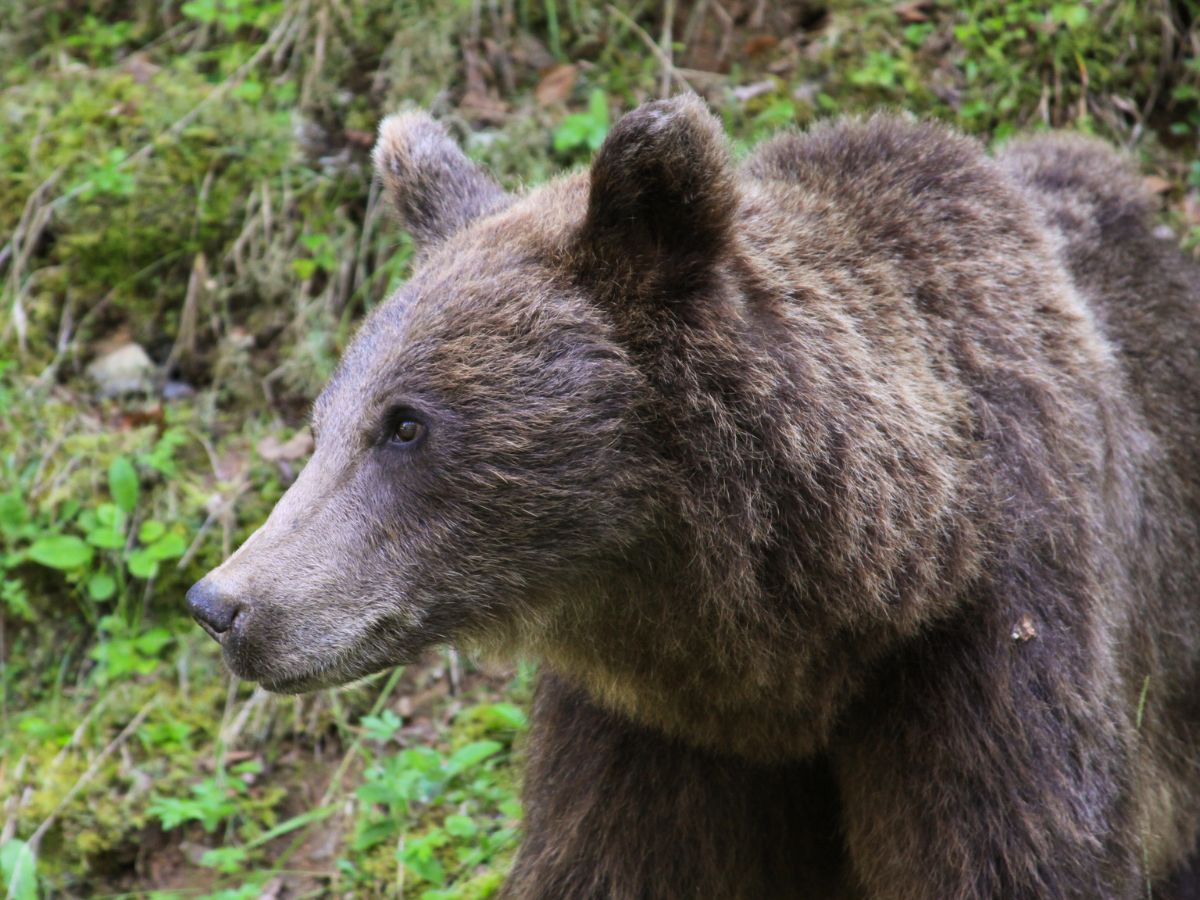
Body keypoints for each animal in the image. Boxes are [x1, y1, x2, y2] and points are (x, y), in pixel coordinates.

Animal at [187, 95, 1200, 897]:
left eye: (404, 424)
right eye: (323, 421)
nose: (222, 603)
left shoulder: (990, 650)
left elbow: (1015, 848)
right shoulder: (656, 743)